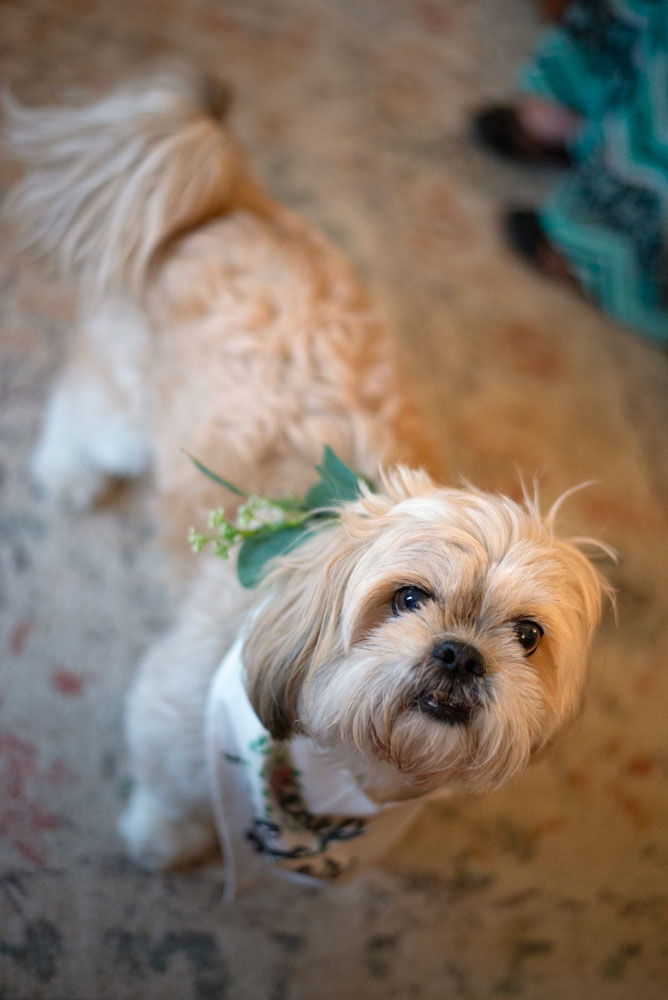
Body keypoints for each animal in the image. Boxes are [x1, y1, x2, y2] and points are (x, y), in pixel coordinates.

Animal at [3, 72, 612, 900]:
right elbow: (169, 783)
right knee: (80, 411)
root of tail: (233, 202)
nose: (459, 655)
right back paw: (69, 475)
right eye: (408, 598)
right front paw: (165, 838)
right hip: (118, 412)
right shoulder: (176, 703)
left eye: (527, 635)